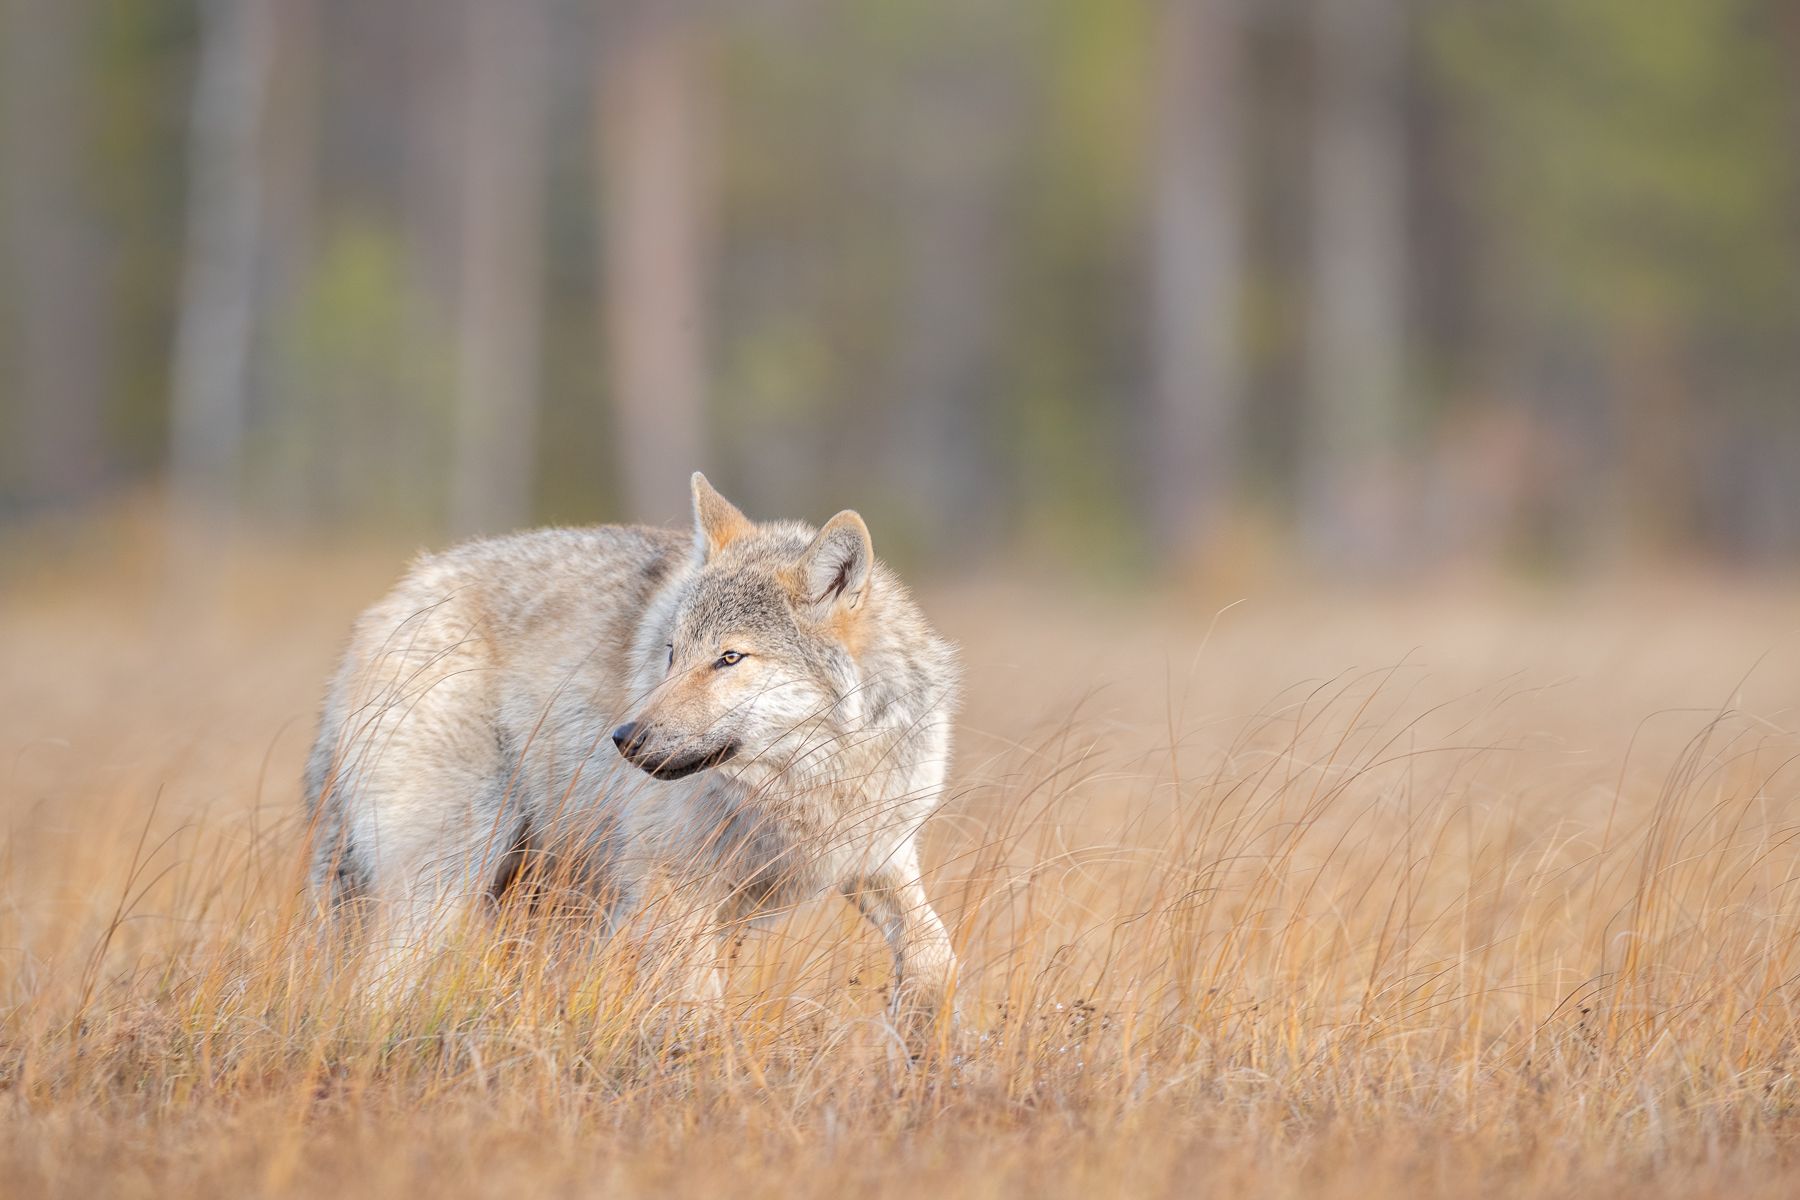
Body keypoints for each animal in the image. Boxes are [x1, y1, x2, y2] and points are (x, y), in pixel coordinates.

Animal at [303, 474, 961, 1030]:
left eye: (729, 658)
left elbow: (936, 957)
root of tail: (386, 606)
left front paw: (924, 1045)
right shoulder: (669, 884)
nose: (624, 738)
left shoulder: (879, 856)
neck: (807, 788)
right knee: (374, 990)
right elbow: (700, 1011)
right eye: (671, 652)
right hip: (450, 875)